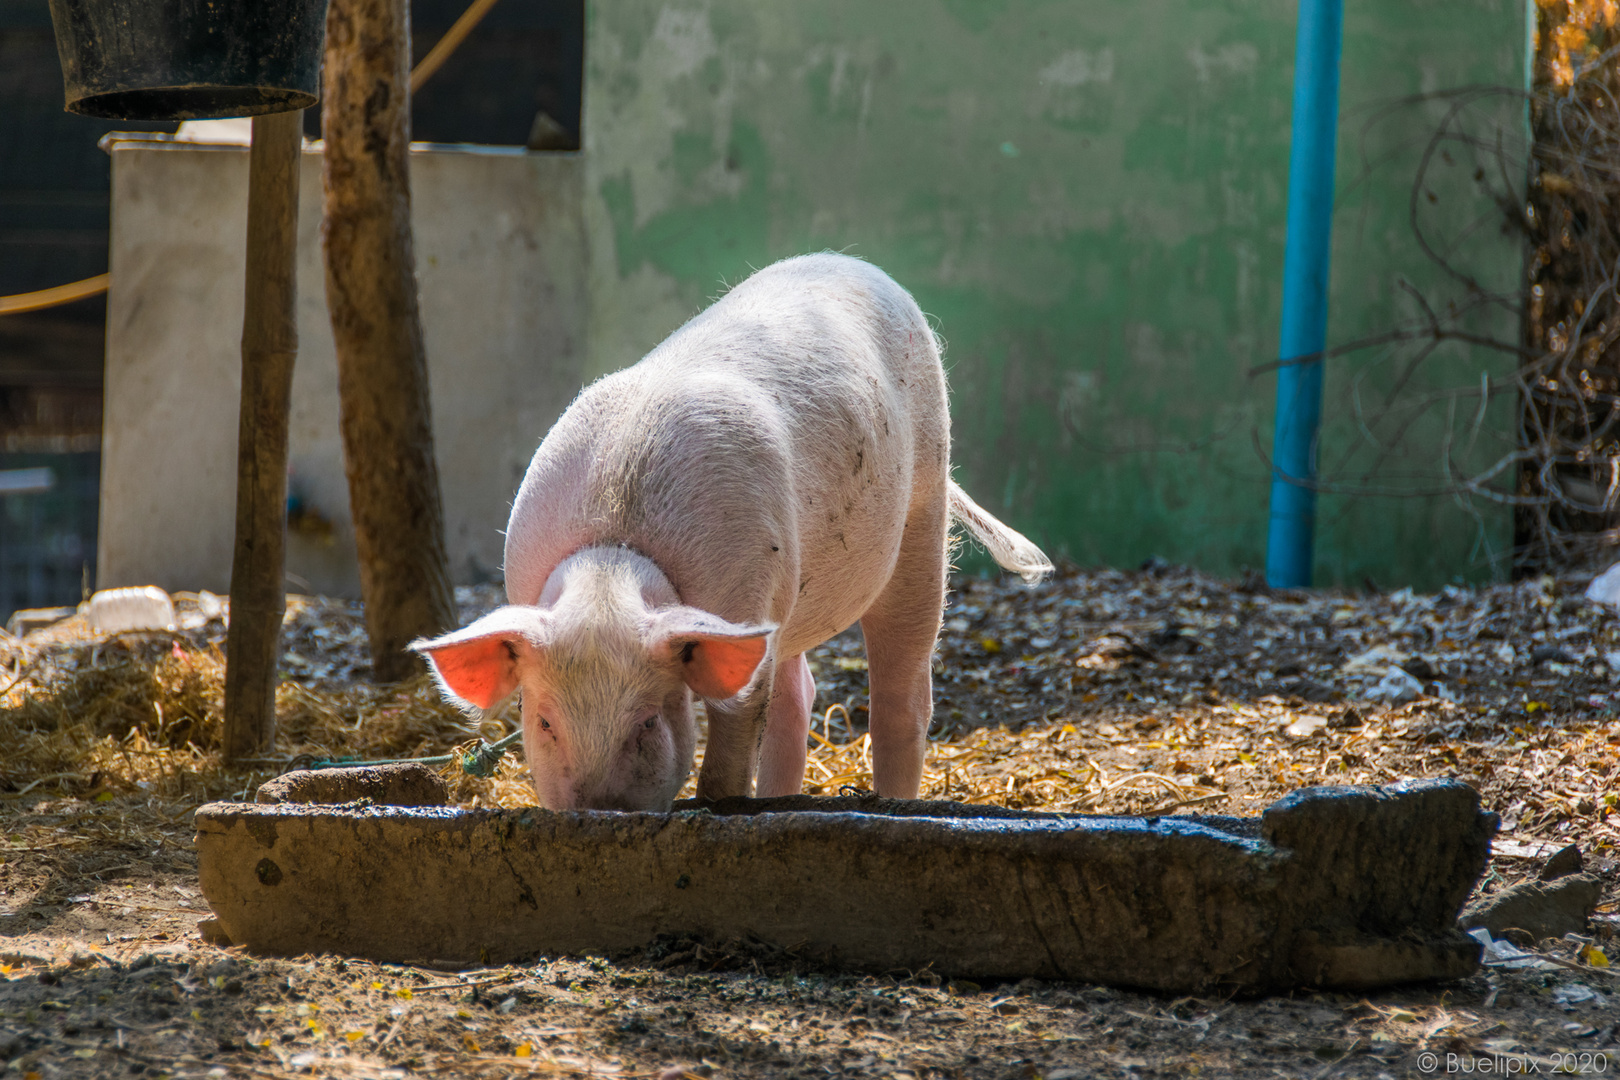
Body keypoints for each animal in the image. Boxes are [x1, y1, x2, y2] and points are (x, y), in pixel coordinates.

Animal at [414, 254, 1049, 809]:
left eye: (648, 721)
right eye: (544, 721)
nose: (599, 811)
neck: (613, 560)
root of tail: (857, 265)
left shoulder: (744, 592)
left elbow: (733, 733)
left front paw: (718, 804)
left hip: (924, 496)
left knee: (904, 694)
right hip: (792, 580)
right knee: (798, 696)